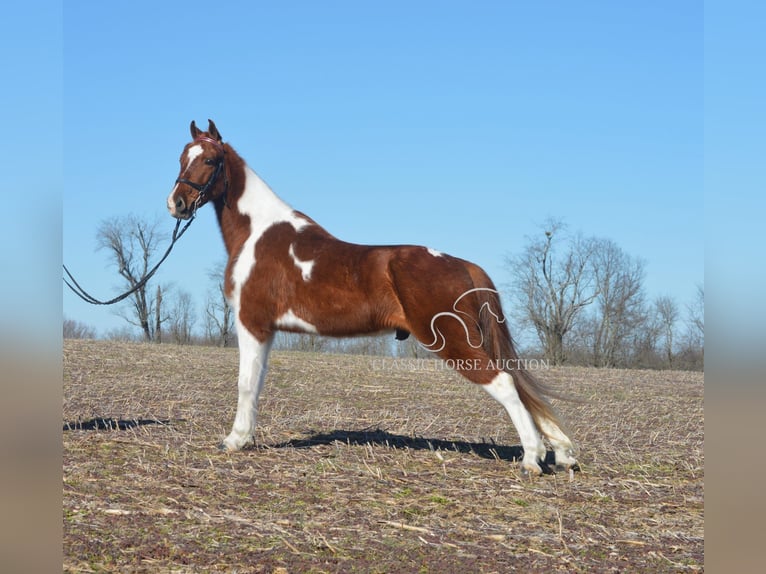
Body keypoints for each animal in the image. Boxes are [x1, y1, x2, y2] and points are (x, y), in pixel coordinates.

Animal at [166, 120, 576, 476]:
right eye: (182, 157)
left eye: (210, 160)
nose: (177, 203)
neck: (259, 234)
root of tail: (465, 266)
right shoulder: (267, 330)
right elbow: (257, 383)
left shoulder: (252, 322)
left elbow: (245, 383)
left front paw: (235, 440)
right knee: (520, 385)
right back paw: (562, 453)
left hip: (453, 342)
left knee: (505, 383)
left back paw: (532, 458)